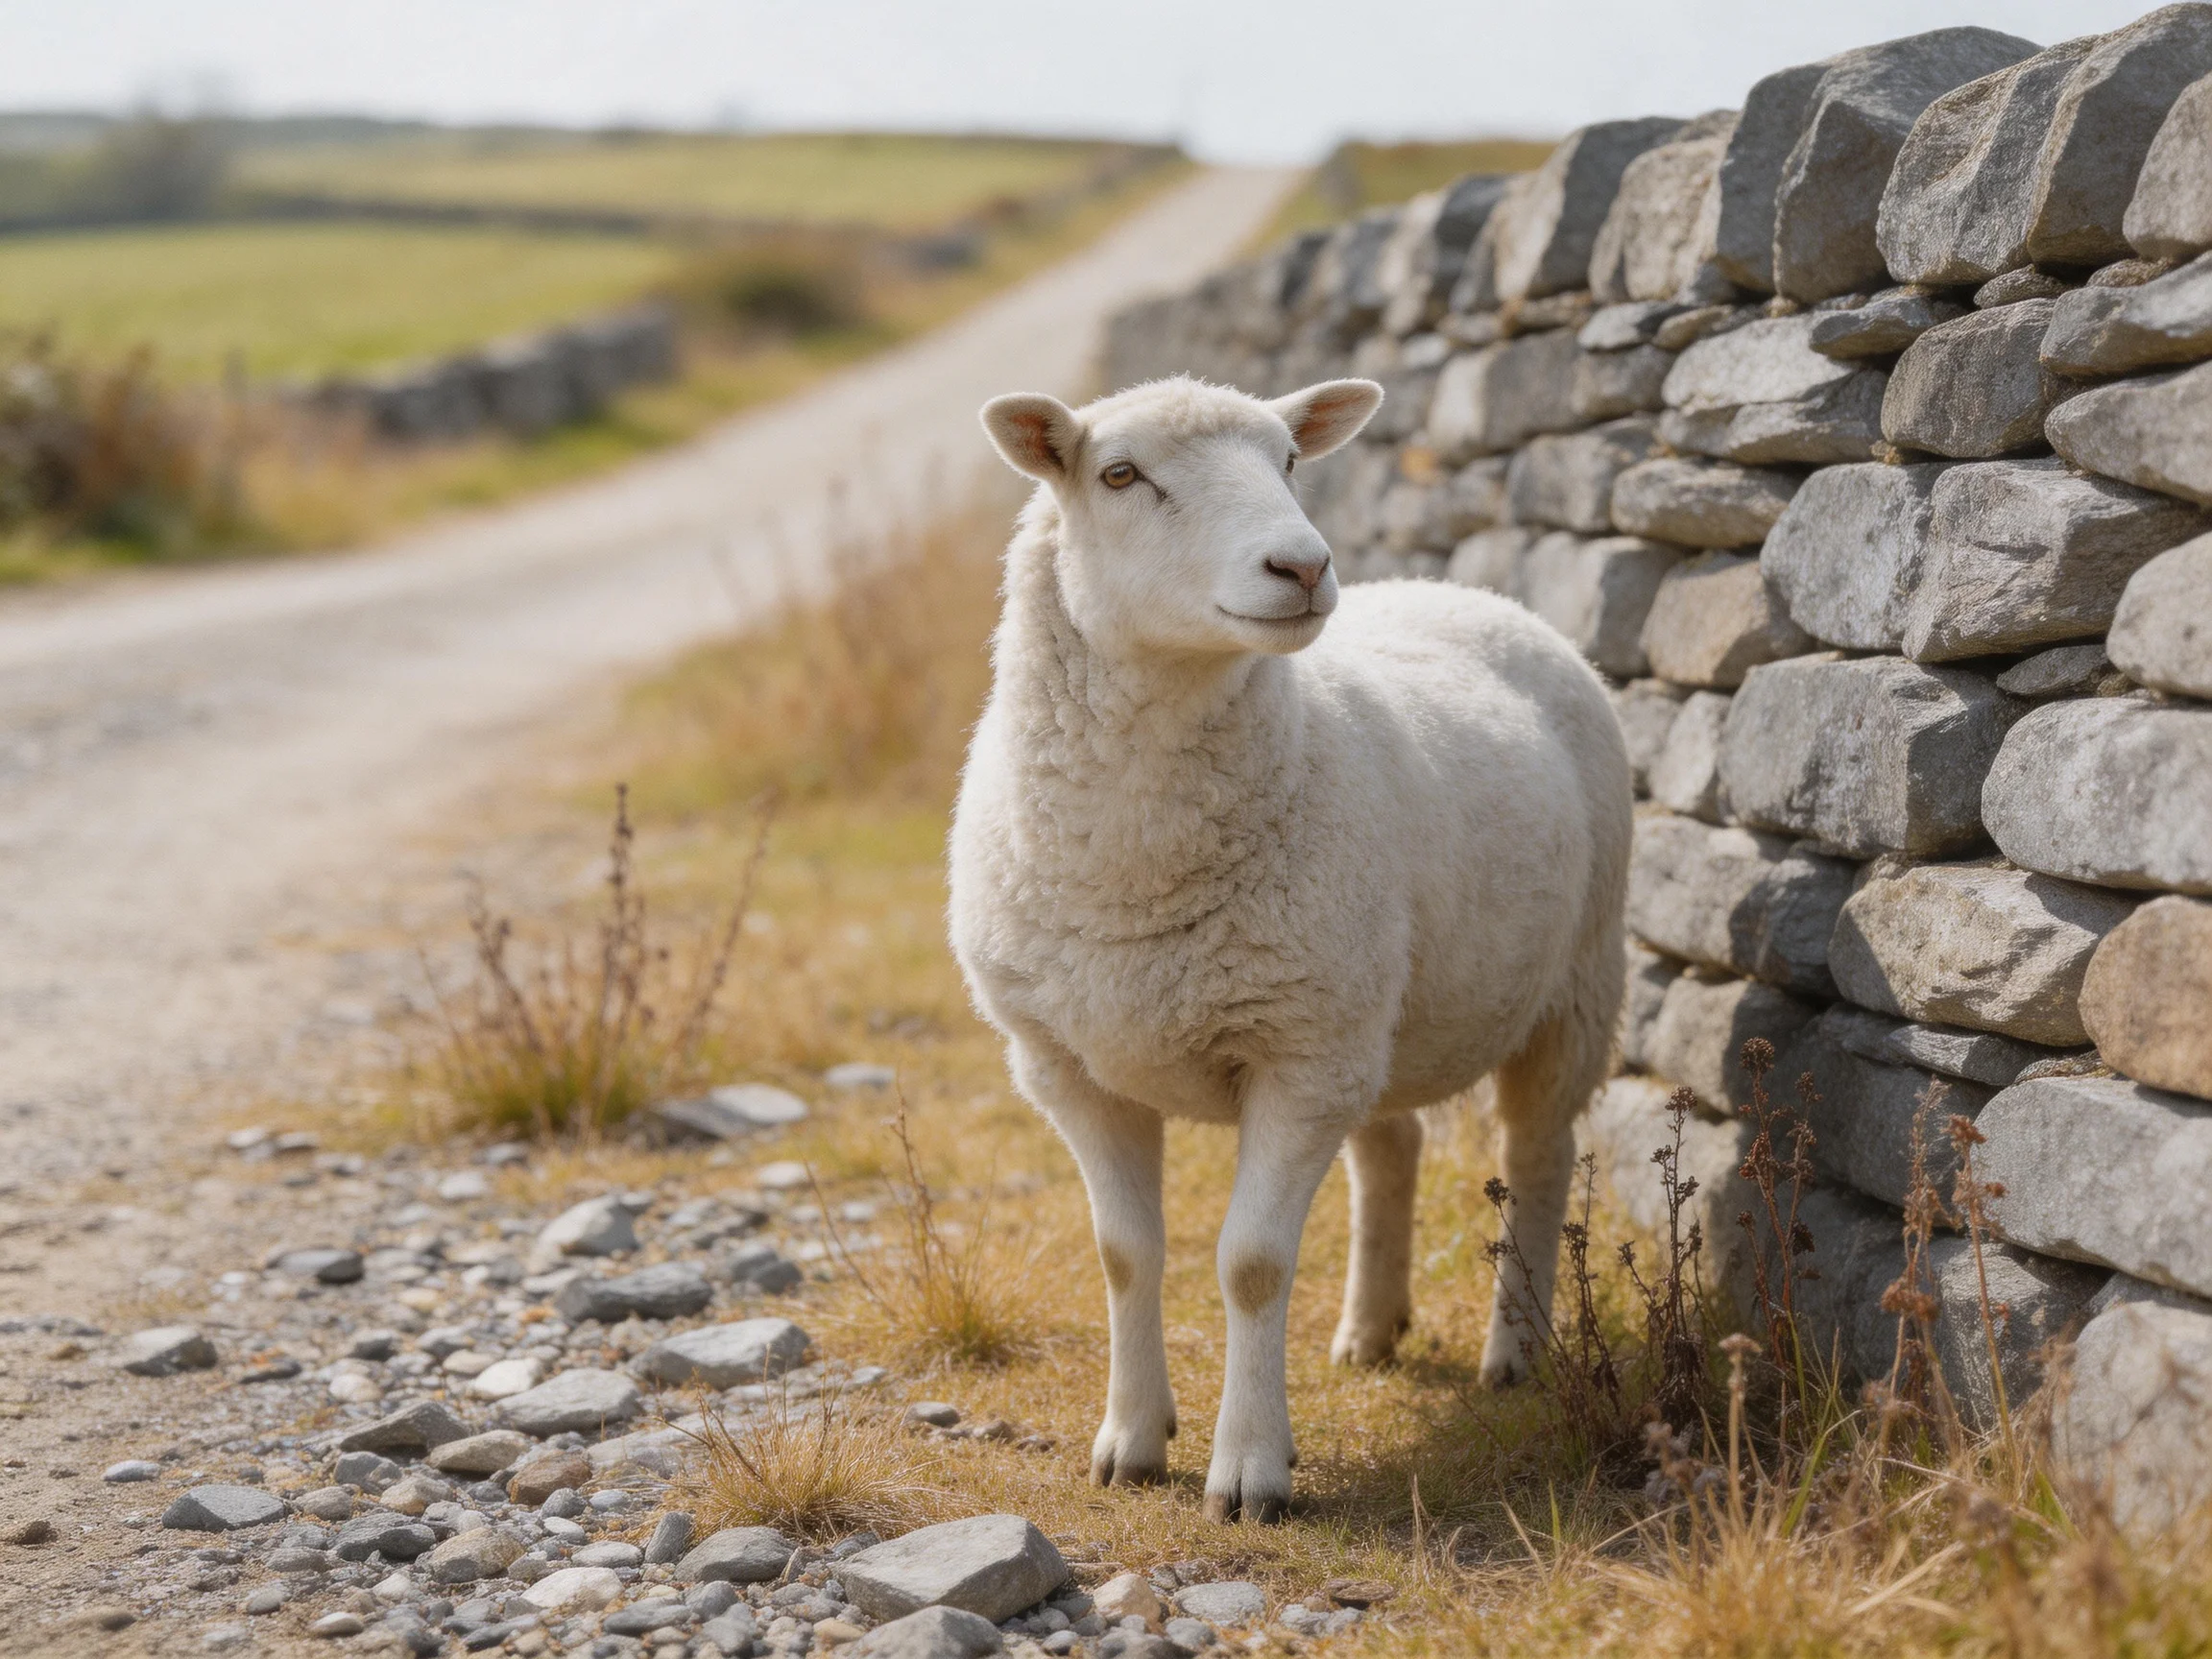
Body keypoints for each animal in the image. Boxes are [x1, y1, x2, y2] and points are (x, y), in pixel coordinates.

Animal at [949, 374, 1632, 1523]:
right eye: (1119, 474)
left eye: (1291, 462)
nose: (1304, 567)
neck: (1137, 861)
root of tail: (1462, 590)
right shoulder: (1069, 1067)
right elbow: (1124, 1256)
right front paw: (1131, 1441)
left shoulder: (1298, 1056)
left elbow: (1254, 1265)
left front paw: (1249, 1470)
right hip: (1373, 1005)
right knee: (1391, 1148)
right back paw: (1370, 1329)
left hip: (1568, 987)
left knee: (1538, 1155)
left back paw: (1514, 1351)